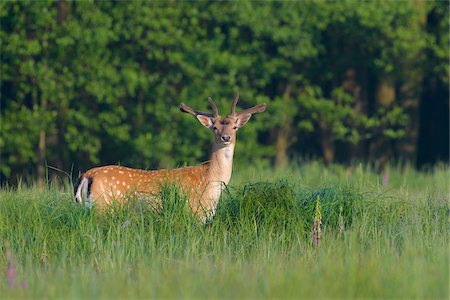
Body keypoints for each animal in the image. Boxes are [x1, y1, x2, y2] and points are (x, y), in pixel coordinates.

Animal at [73, 92, 264, 221]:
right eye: (215, 127)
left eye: (234, 127)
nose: (226, 137)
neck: (211, 182)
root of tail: (87, 175)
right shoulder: (194, 213)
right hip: (103, 207)